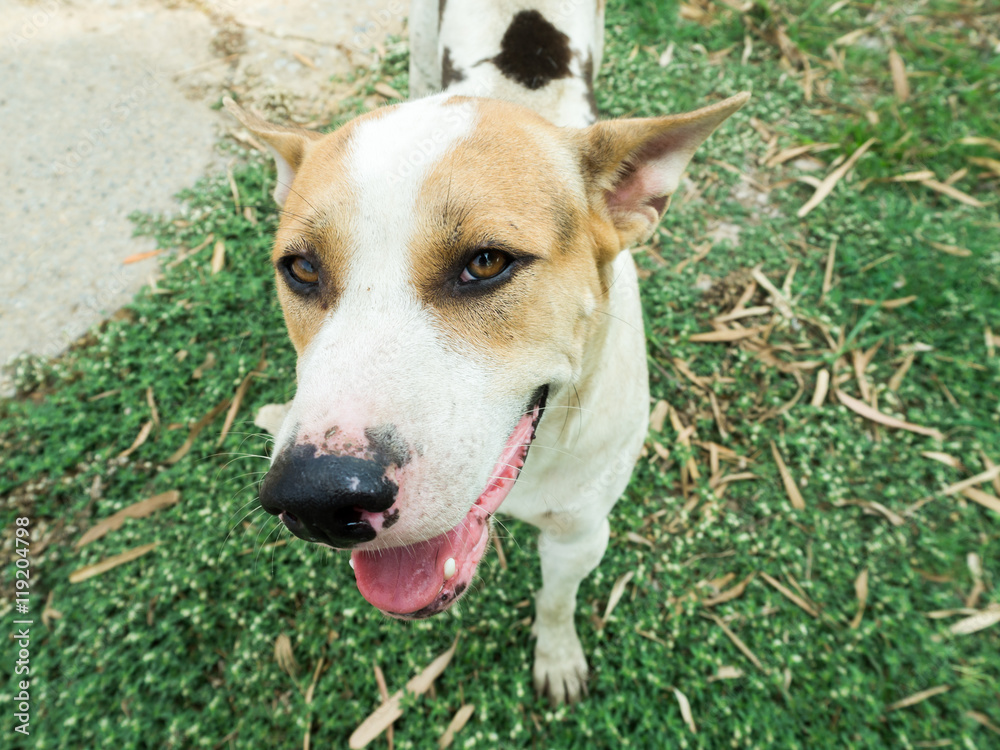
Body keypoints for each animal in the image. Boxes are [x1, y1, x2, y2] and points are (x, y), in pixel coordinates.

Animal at [225, 0, 744, 704]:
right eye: (301, 268)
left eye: (487, 262)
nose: (317, 497)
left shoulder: (582, 532)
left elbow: (557, 600)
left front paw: (558, 656)